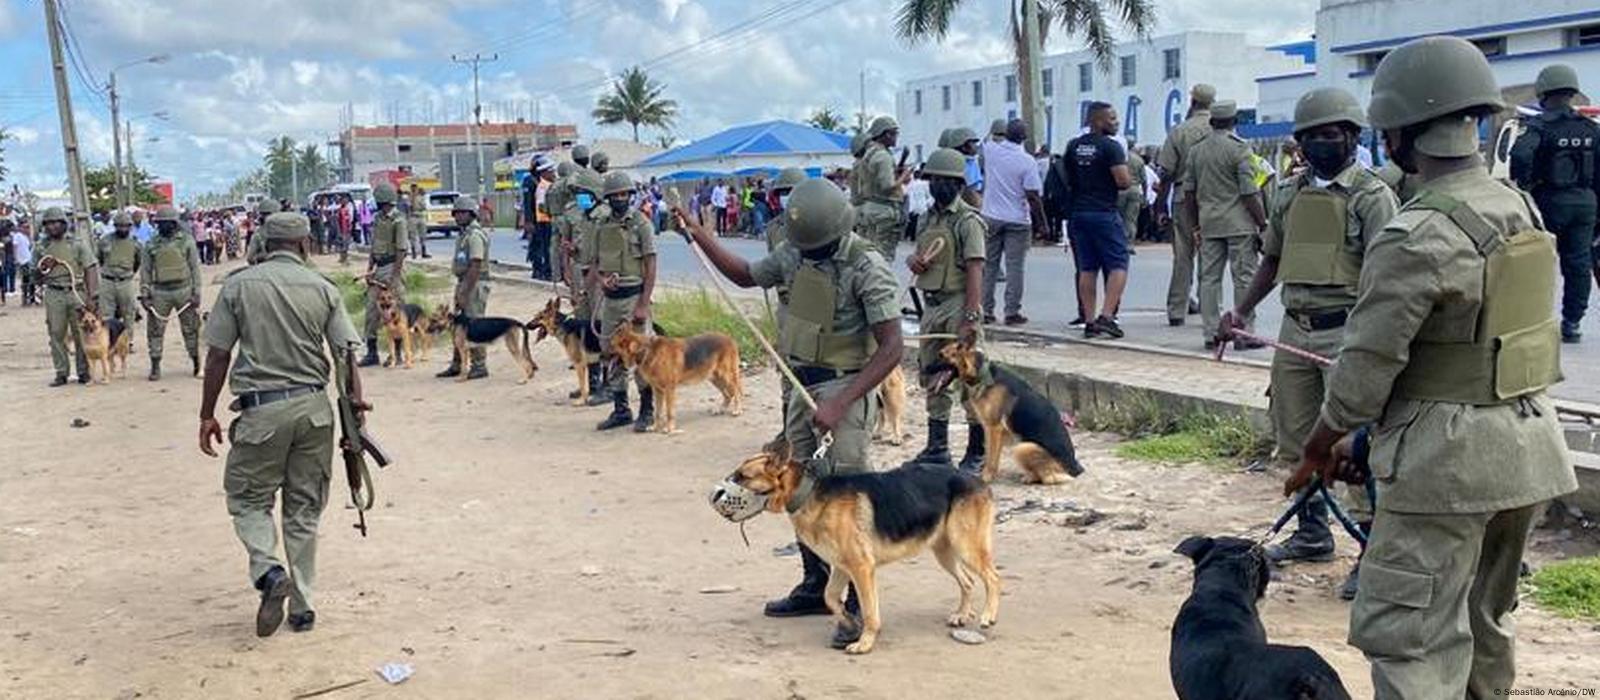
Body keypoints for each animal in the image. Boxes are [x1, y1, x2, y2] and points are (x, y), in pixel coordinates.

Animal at [611, 322, 742, 431]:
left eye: (610, 346)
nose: (603, 358)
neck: (646, 351)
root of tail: (729, 338)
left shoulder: (669, 390)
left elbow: (669, 412)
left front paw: (669, 428)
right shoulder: (658, 390)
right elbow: (658, 412)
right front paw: (655, 427)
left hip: (725, 375)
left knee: (736, 391)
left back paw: (737, 410)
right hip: (714, 378)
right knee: (728, 394)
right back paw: (721, 409)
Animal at [716, 441, 998, 652]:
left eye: (742, 477)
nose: (716, 494)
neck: (808, 493)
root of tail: (979, 481)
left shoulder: (861, 568)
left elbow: (870, 611)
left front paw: (865, 642)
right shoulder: (842, 567)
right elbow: (830, 597)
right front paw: (849, 623)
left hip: (966, 547)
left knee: (993, 578)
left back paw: (988, 615)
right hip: (945, 551)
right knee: (968, 581)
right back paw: (961, 614)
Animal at [928, 340, 1088, 482]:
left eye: (941, 355)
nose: (924, 367)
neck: (983, 374)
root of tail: (1075, 468)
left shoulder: (994, 428)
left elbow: (991, 457)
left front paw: (985, 477)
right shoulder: (992, 430)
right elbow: (991, 455)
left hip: (1022, 447)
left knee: (1050, 478)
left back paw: (1030, 477)